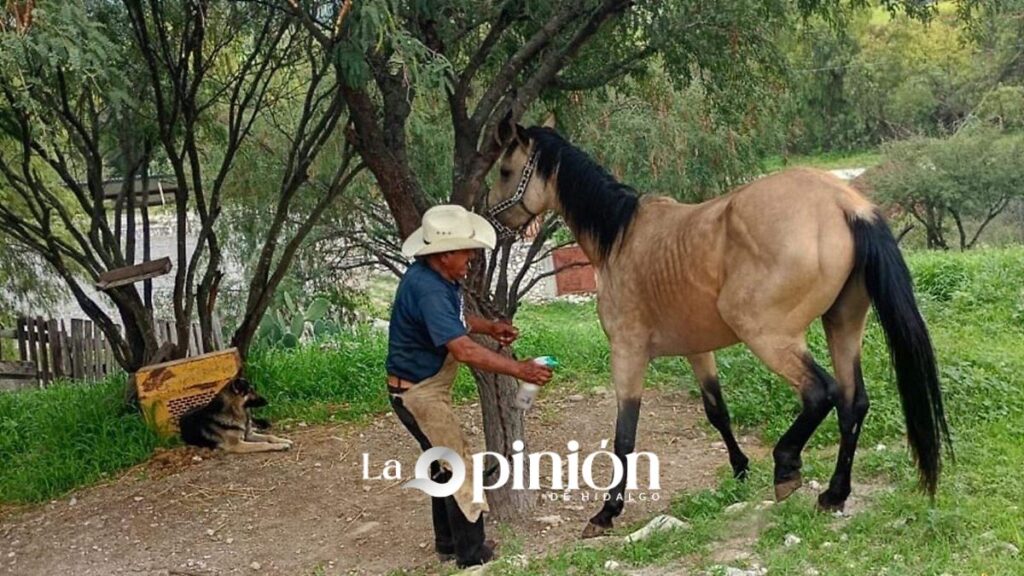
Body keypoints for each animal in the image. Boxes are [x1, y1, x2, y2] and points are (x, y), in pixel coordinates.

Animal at [485, 117, 951, 538]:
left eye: (505, 170)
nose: (493, 220)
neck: (622, 237)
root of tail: (843, 204)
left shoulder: (627, 353)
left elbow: (624, 436)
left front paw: (606, 512)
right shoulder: (697, 350)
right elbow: (717, 411)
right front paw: (740, 468)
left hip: (768, 335)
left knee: (822, 392)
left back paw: (786, 467)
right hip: (843, 325)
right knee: (853, 403)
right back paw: (834, 495)